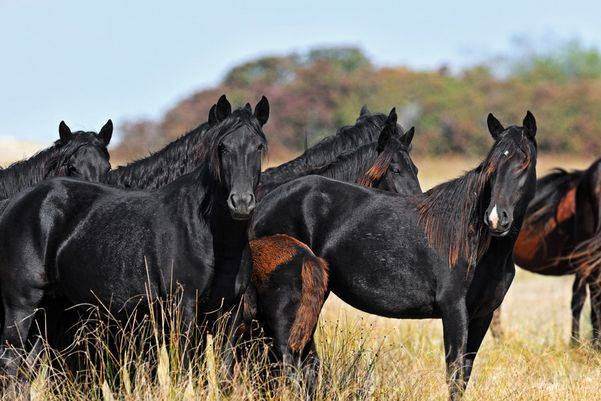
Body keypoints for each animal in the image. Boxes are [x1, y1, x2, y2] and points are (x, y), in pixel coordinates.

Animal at [0, 98, 268, 376]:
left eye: (259, 146)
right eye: (221, 147)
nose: (241, 202)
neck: (209, 234)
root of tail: (16, 202)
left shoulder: (230, 312)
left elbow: (223, 367)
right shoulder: (182, 307)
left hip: (51, 308)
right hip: (22, 304)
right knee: (11, 361)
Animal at [246, 111, 536, 398]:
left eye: (524, 162)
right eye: (492, 165)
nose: (496, 218)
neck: (474, 241)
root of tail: (264, 203)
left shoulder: (482, 315)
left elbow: (463, 375)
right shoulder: (454, 310)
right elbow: (453, 375)